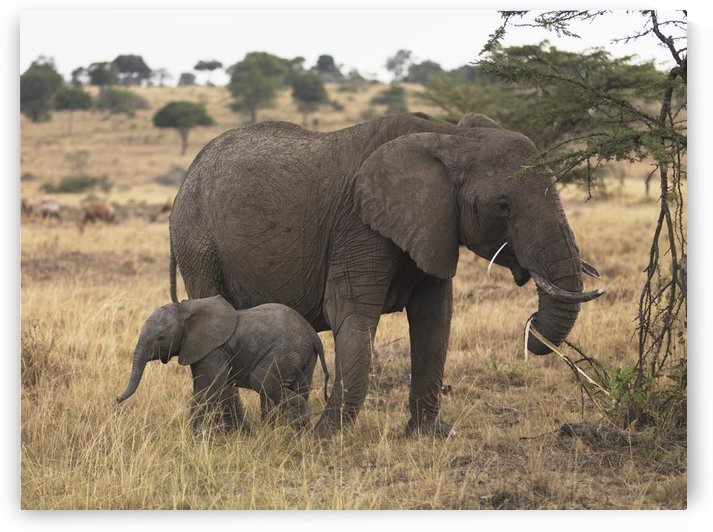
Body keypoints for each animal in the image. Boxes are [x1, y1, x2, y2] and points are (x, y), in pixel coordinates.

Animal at [117, 295, 329, 432]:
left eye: (160, 338)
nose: (117, 399)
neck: (186, 310)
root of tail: (313, 335)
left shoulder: (212, 350)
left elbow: (208, 388)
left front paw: (195, 438)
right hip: (303, 355)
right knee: (300, 387)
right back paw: (296, 431)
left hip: (287, 350)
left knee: (262, 381)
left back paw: (302, 421)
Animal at [167, 112, 604, 438]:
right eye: (502, 206)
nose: (531, 331)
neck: (450, 137)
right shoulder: (359, 225)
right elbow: (352, 316)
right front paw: (324, 439)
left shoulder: (434, 227)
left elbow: (434, 321)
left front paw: (427, 436)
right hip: (198, 243)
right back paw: (230, 433)